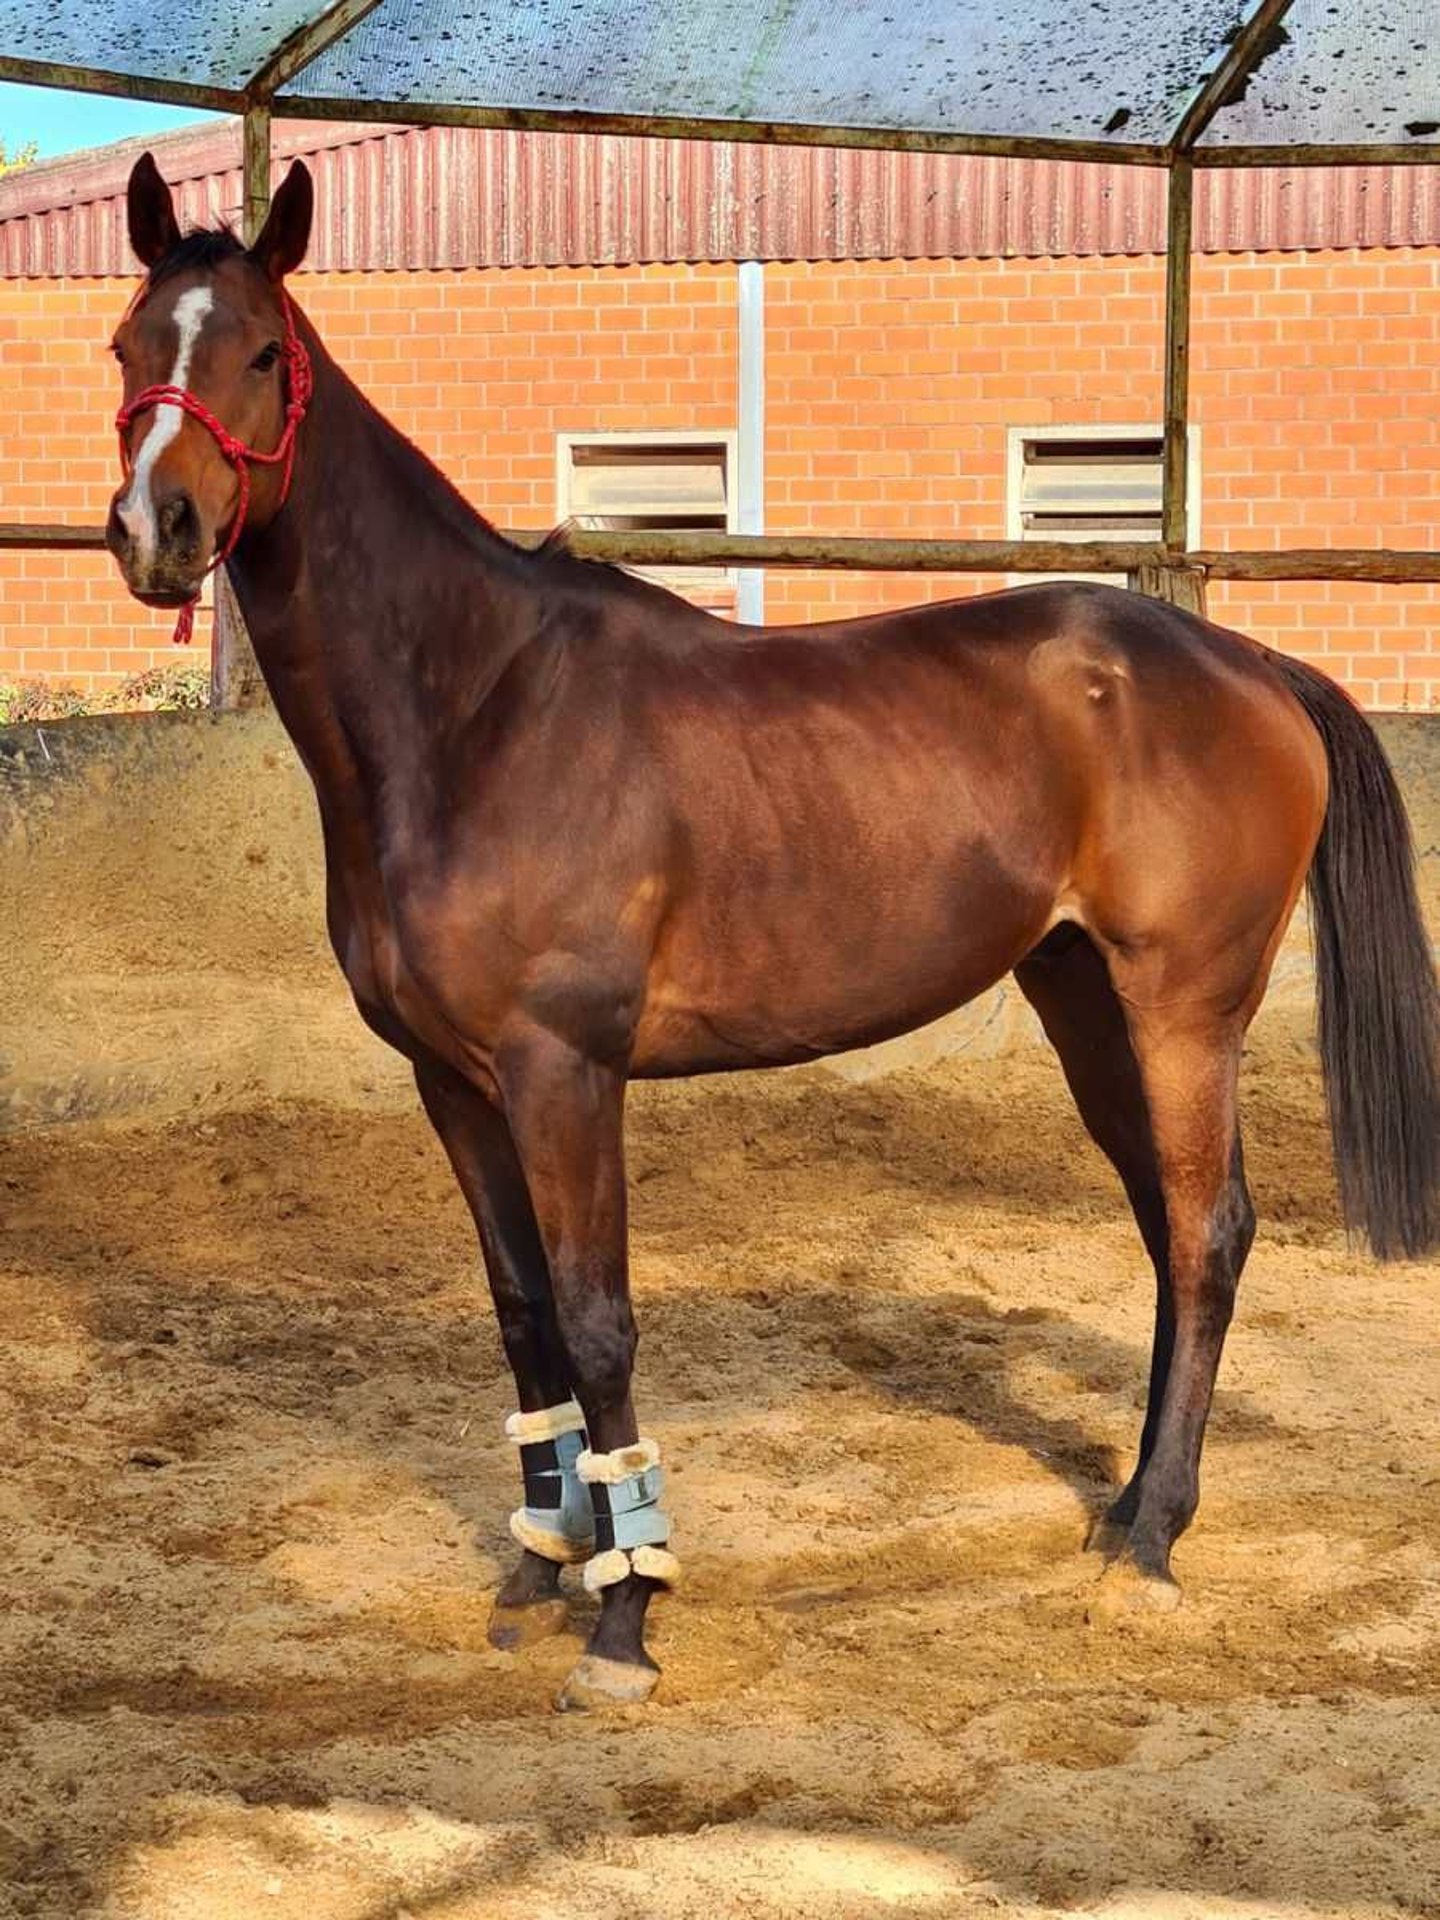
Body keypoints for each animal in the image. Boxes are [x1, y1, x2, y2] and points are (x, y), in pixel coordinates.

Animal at [104, 153, 1440, 1712]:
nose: (155, 530)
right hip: (1083, 1001)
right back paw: (1122, 1511)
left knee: (1211, 1229)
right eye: (130, 347)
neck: (474, 709)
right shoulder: (454, 1083)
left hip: (1183, 1010)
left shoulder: (566, 1074)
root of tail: (1252, 664)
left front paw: (625, 1616)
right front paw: (539, 1567)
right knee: (1171, 1230)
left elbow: (599, 1316)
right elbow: (522, 1314)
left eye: (264, 352)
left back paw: (1157, 1539)